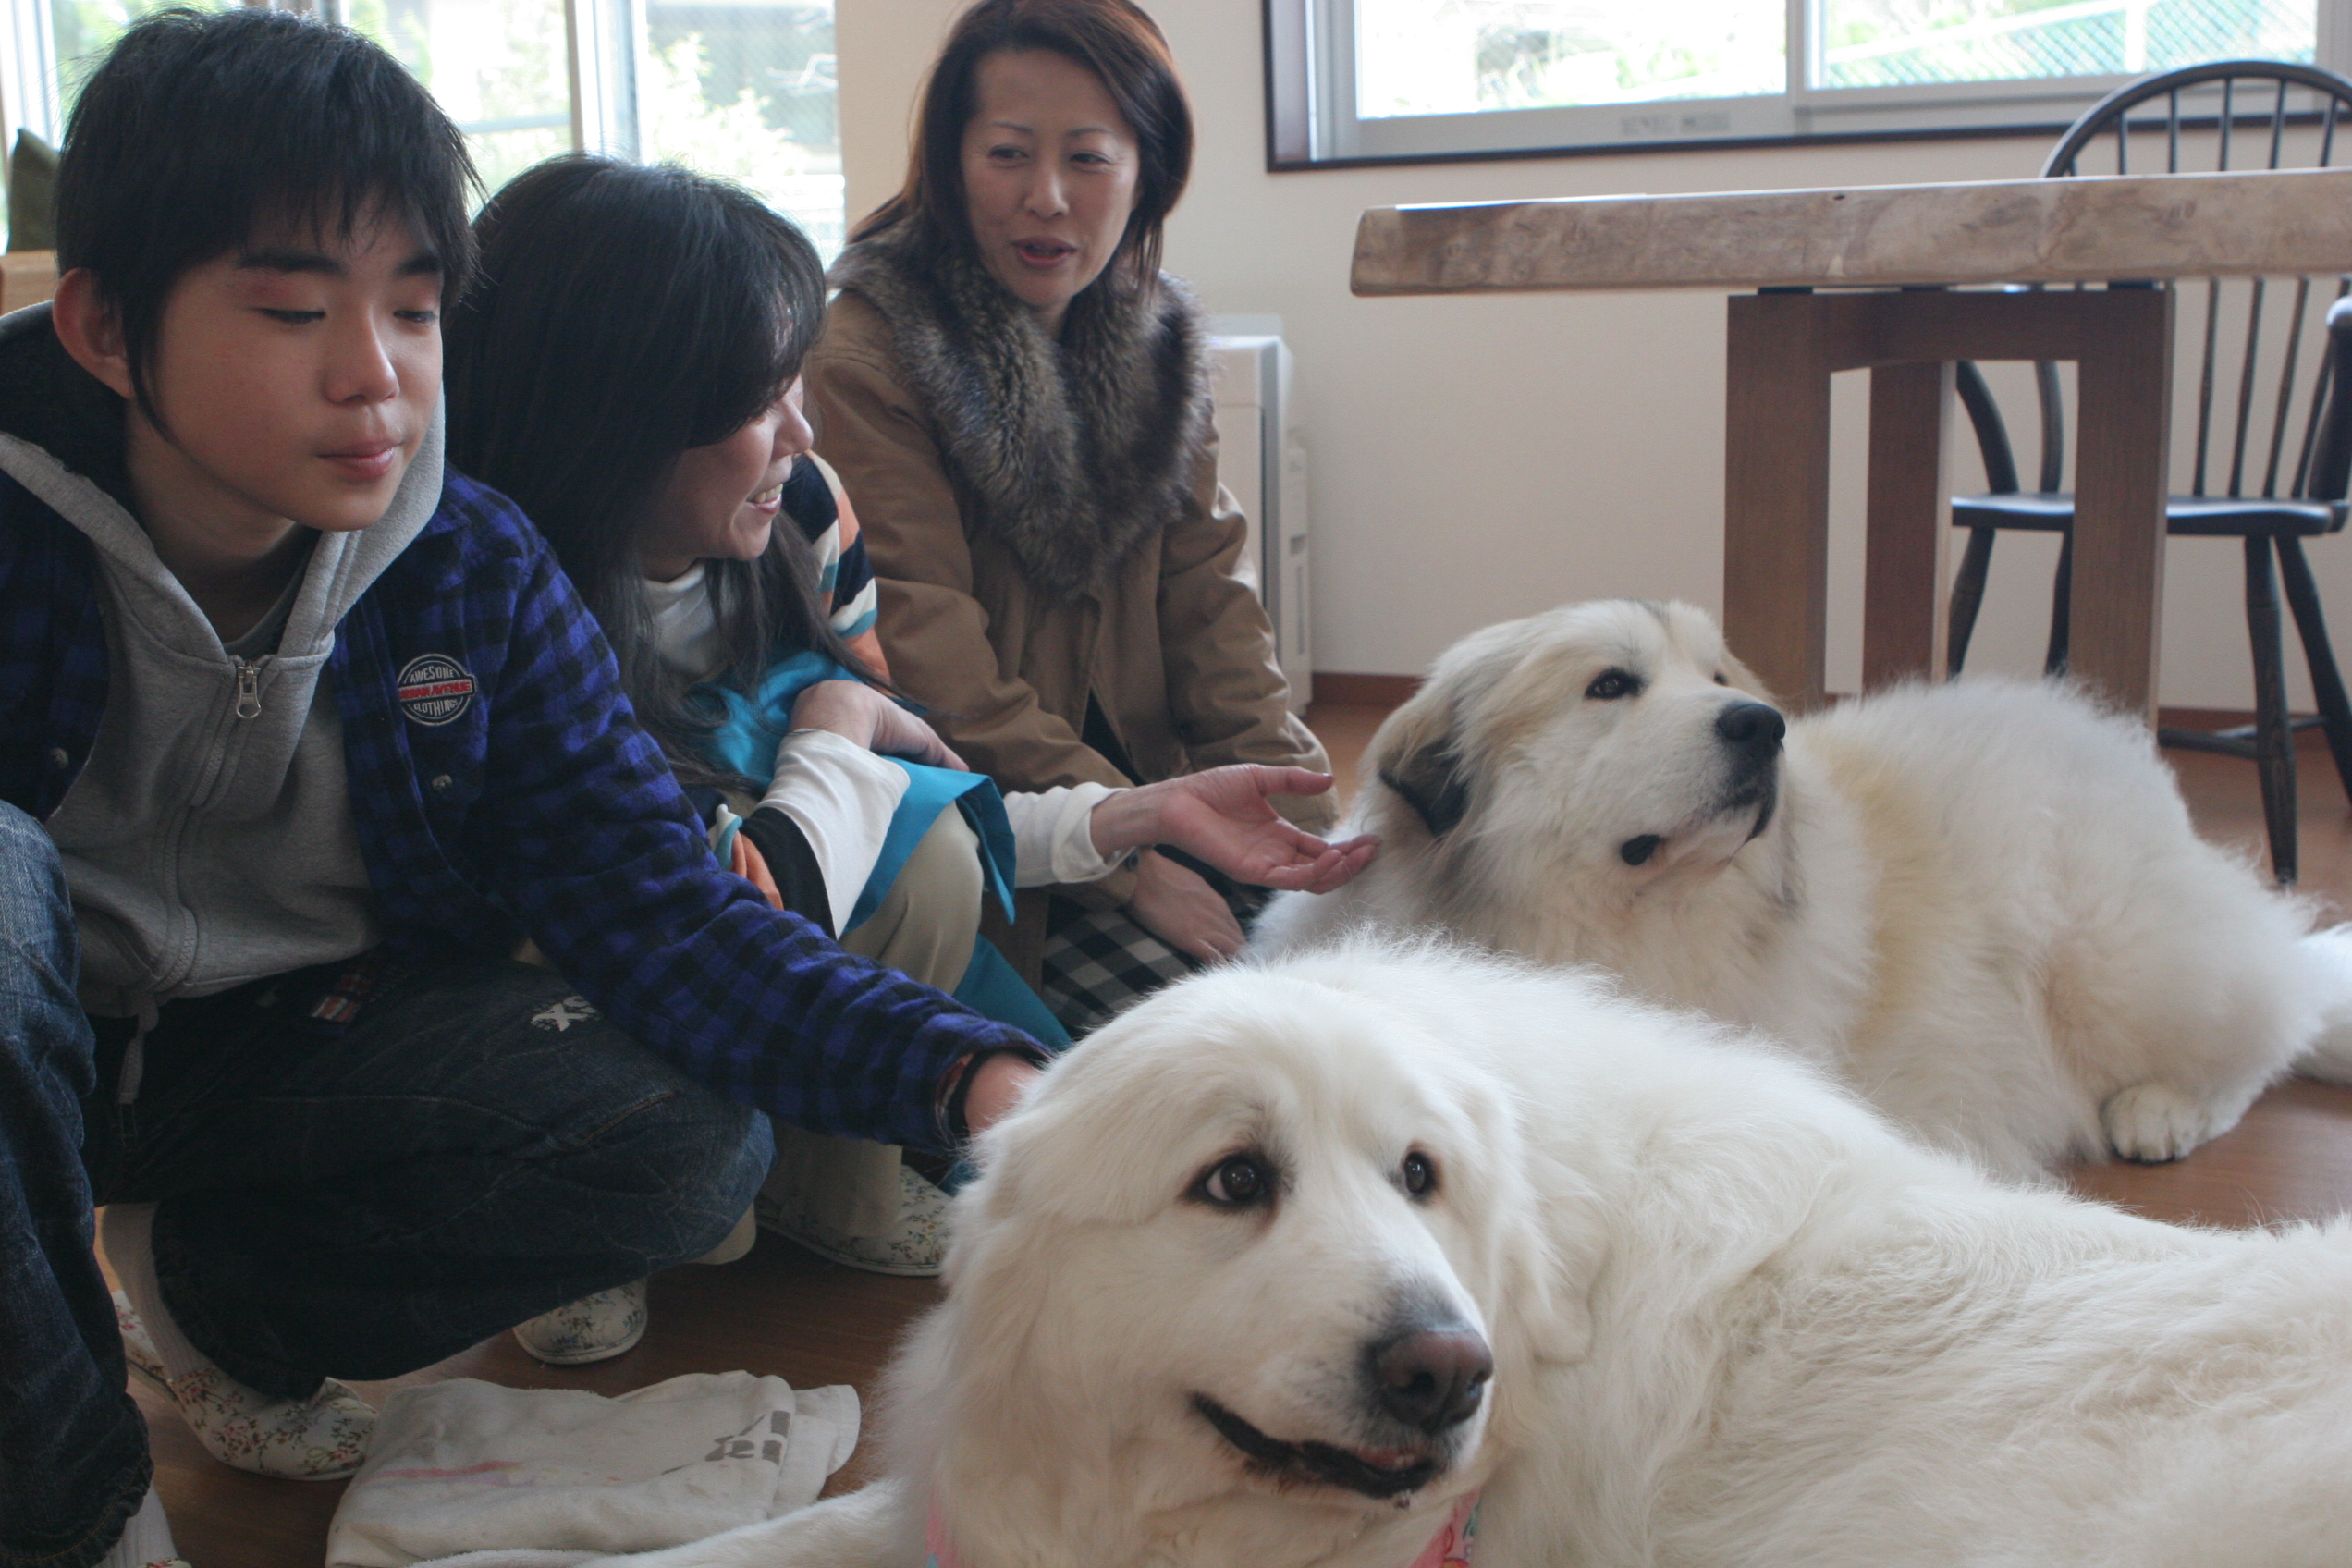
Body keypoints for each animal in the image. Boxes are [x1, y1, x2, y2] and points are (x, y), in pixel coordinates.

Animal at [1260, 596, 2352, 1175]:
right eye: (1610, 685)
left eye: (1717, 677)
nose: (1761, 725)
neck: (1618, 934)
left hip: (2111, 961)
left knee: (2274, 1012)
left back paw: (2163, 1110)